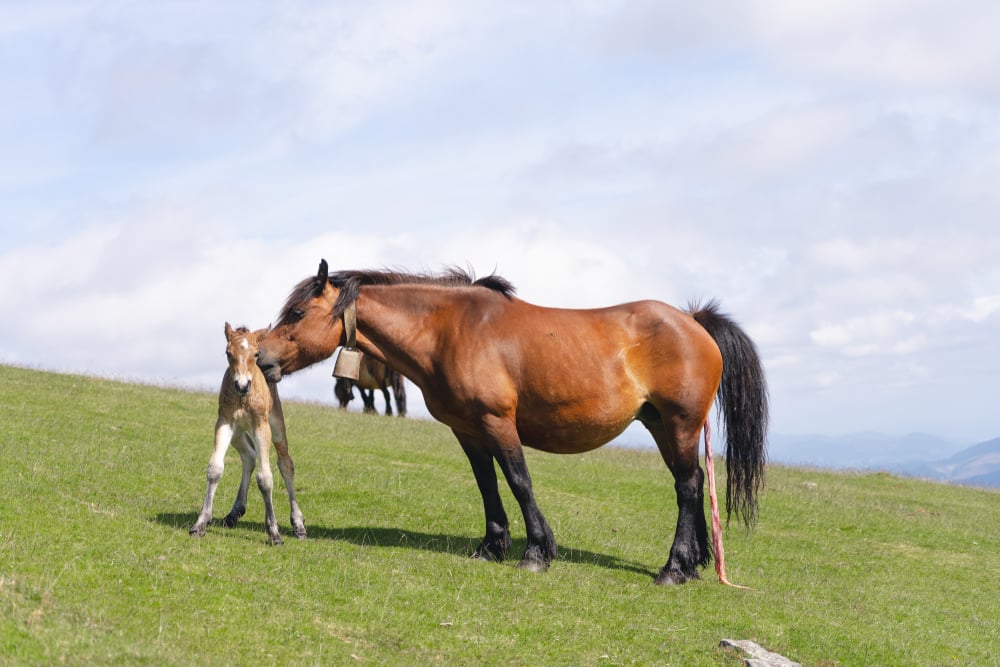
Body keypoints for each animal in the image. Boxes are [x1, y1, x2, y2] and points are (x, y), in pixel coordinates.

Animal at [190, 323, 307, 544]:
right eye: (228, 353)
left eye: (256, 353)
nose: (242, 385)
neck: (243, 398)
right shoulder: (224, 423)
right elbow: (215, 469)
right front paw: (200, 523)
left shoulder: (261, 426)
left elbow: (265, 478)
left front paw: (274, 533)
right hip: (238, 433)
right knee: (249, 457)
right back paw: (234, 513)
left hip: (276, 427)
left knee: (285, 463)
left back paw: (299, 525)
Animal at [257, 260, 767, 584]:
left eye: (297, 313)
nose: (261, 359)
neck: (451, 330)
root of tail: (693, 320)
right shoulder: (467, 429)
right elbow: (487, 484)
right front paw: (492, 546)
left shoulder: (498, 422)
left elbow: (519, 481)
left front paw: (538, 552)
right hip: (661, 425)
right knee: (693, 482)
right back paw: (695, 562)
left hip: (679, 424)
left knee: (687, 486)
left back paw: (674, 568)